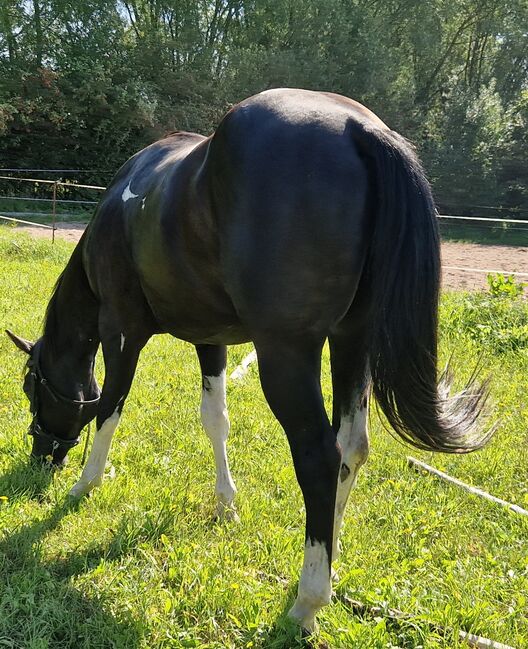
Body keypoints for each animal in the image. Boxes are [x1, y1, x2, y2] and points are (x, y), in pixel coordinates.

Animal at [6, 88, 492, 632]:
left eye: (30, 387)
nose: (40, 458)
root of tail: (360, 129)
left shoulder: (121, 332)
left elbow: (109, 407)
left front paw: (85, 484)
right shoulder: (209, 341)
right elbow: (215, 419)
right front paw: (226, 504)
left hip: (287, 354)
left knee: (321, 457)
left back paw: (308, 601)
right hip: (352, 341)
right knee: (352, 448)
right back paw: (330, 566)